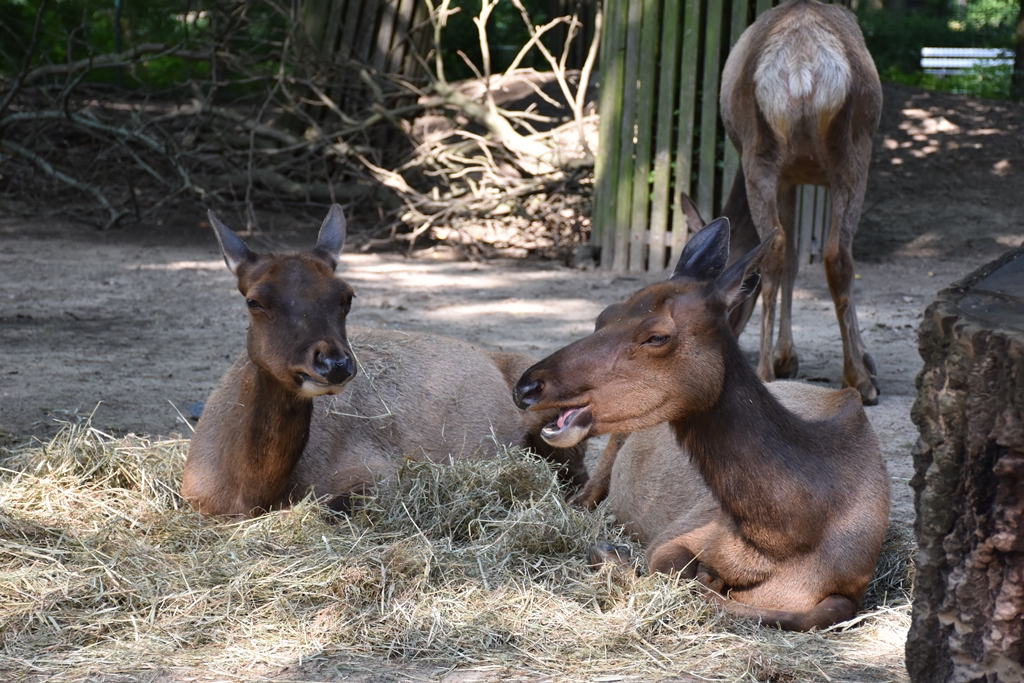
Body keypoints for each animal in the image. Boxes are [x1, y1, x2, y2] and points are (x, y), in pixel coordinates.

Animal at [181, 205, 586, 517]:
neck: (245, 491)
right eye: (255, 300)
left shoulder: (375, 471)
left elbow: (332, 508)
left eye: (346, 295)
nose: (334, 364)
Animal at [512, 217, 890, 631]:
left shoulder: (850, 589)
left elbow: (811, 612)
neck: (783, 539)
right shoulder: (676, 534)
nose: (527, 386)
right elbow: (676, 576)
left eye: (657, 336)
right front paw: (612, 555)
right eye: (604, 316)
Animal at [719, 0, 883, 405]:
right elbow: (795, 258)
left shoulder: (791, 177)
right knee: (834, 255)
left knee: (790, 251)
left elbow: (792, 257)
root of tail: (801, 67)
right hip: (852, 150)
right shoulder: (793, 179)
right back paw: (856, 378)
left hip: (763, 157)